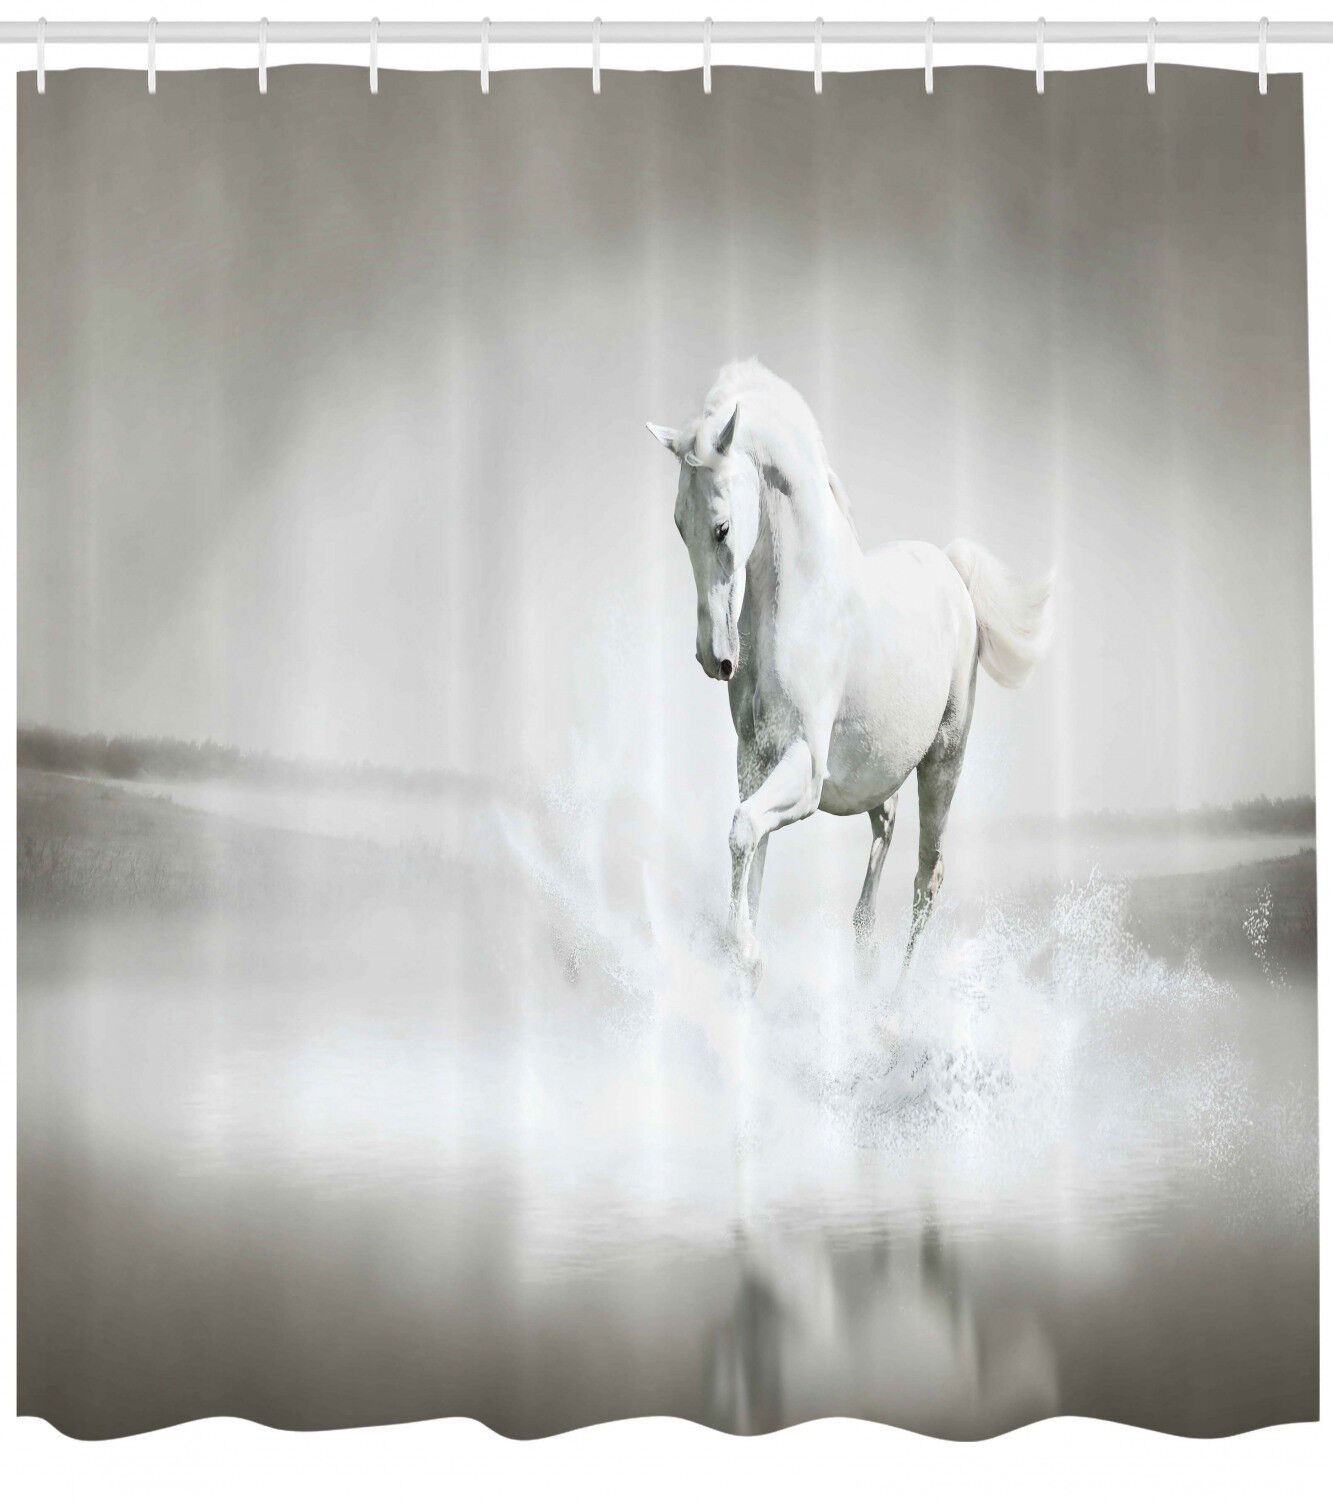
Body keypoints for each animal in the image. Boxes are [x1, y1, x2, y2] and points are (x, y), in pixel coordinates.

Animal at [648, 360, 1053, 972]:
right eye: (678, 526)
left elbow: (742, 831)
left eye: (721, 527)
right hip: (879, 772)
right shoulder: (754, 761)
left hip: (944, 761)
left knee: (927, 879)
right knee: (884, 836)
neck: (799, 606)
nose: (712, 658)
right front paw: (746, 956)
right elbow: (751, 852)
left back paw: (896, 995)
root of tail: (951, 569)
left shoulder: (806, 769)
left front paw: (746, 950)